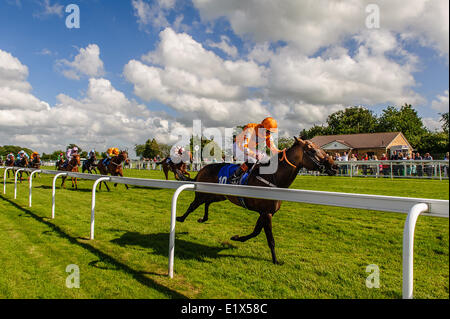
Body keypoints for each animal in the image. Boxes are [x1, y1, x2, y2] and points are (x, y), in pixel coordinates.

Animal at [176, 137, 338, 264]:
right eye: (312, 151)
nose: (335, 166)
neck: (273, 177)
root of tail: (202, 168)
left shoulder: (266, 213)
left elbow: (255, 232)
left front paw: (237, 238)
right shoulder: (266, 213)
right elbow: (270, 239)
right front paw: (275, 260)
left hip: (219, 195)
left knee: (207, 203)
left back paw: (203, 218)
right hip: (202, 193)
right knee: (193, 204)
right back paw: (180, 218)